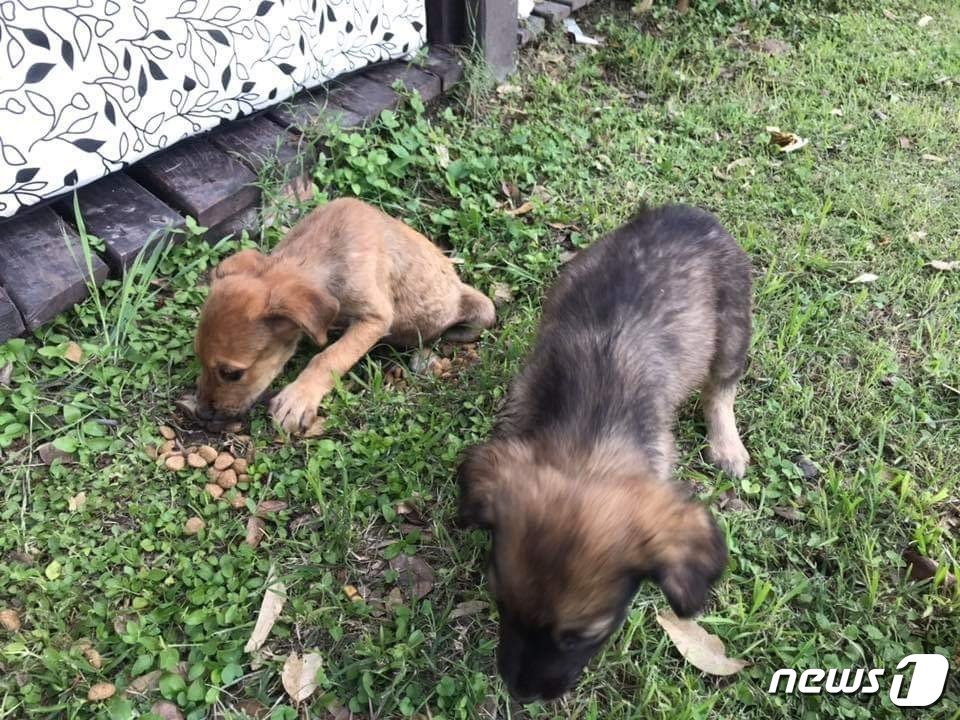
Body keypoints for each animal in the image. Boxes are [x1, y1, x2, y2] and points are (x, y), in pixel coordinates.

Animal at [195, 197, 496, 430]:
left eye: (232, 373)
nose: (200, 414)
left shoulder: (375, 317)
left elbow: (329, 357)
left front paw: (297, 399)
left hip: (481, 311)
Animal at [458, 204, 752, 704]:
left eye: (582, 636)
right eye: (501, 605)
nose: (521, 695)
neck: (588, 438)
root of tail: (683, 212)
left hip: (733, 325)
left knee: (721, 389)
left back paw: (726, 444)